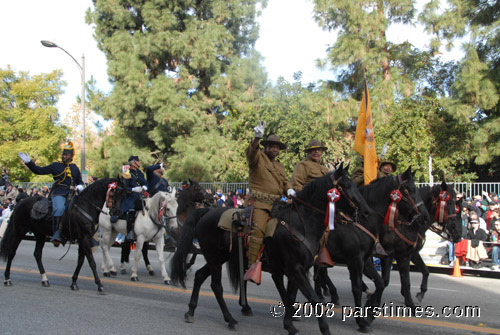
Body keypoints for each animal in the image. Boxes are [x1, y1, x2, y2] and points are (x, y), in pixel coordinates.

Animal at [170, 167, 370, 334]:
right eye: (346, 185)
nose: (366, 211)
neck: (301, 223)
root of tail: (207, 212)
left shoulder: (296, 270)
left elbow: (291, 296)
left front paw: (289, 325)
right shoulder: (295, 269)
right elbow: (314, 299)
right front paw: (325, 329)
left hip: (219, 258)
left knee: (199, 276)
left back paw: (191, 311)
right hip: (214, 257)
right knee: (216, 286)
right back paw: (230, 319)